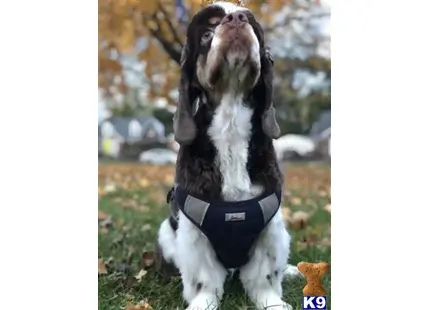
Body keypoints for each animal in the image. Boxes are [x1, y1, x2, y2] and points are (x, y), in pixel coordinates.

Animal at [155, 1, 298, 308]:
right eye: (207, 33)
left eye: (252, 25)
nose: (236, 18)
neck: (230, 119)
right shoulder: (194, 235)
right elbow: (204, 280)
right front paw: (202, 302)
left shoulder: (270, 228)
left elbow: (264, 276)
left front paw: (273, 301)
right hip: (165, 233)